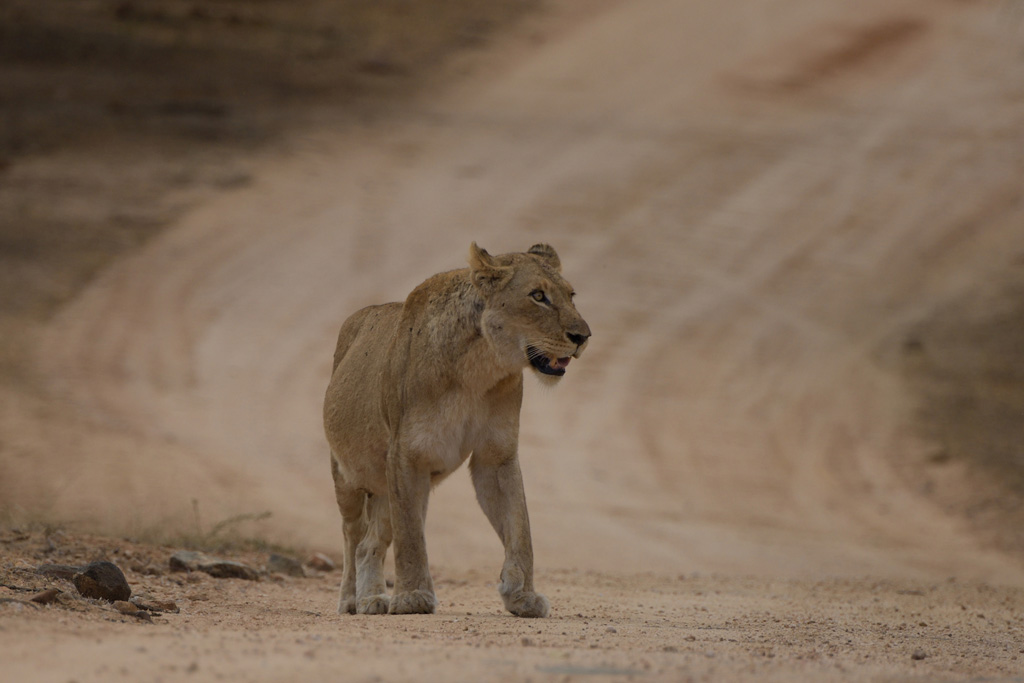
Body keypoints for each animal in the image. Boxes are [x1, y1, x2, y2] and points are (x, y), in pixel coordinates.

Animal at [323, 242, 591, 617]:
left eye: (571, 295)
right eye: (538, 296)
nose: (583, 337)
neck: (478, 368)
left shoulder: (496, 454)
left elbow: (519, 527)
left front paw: (521, 594)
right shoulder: (406, 455)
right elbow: (410, 537)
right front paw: (413, 596)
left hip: (388, 487)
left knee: (369, 543)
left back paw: (372, 598)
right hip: (347, 476)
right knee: (353, 535)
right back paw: (351, 599)